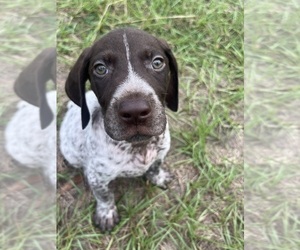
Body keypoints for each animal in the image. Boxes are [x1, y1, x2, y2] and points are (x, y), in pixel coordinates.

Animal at [59, 27, 179, 232]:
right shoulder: (97, 177)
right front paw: (106, 213)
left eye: (157, 62)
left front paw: (158, 177)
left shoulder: (161, 152)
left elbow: (155, 166)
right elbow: (105, 196)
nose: (135, 111)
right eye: (100, 68)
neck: (138, 146)